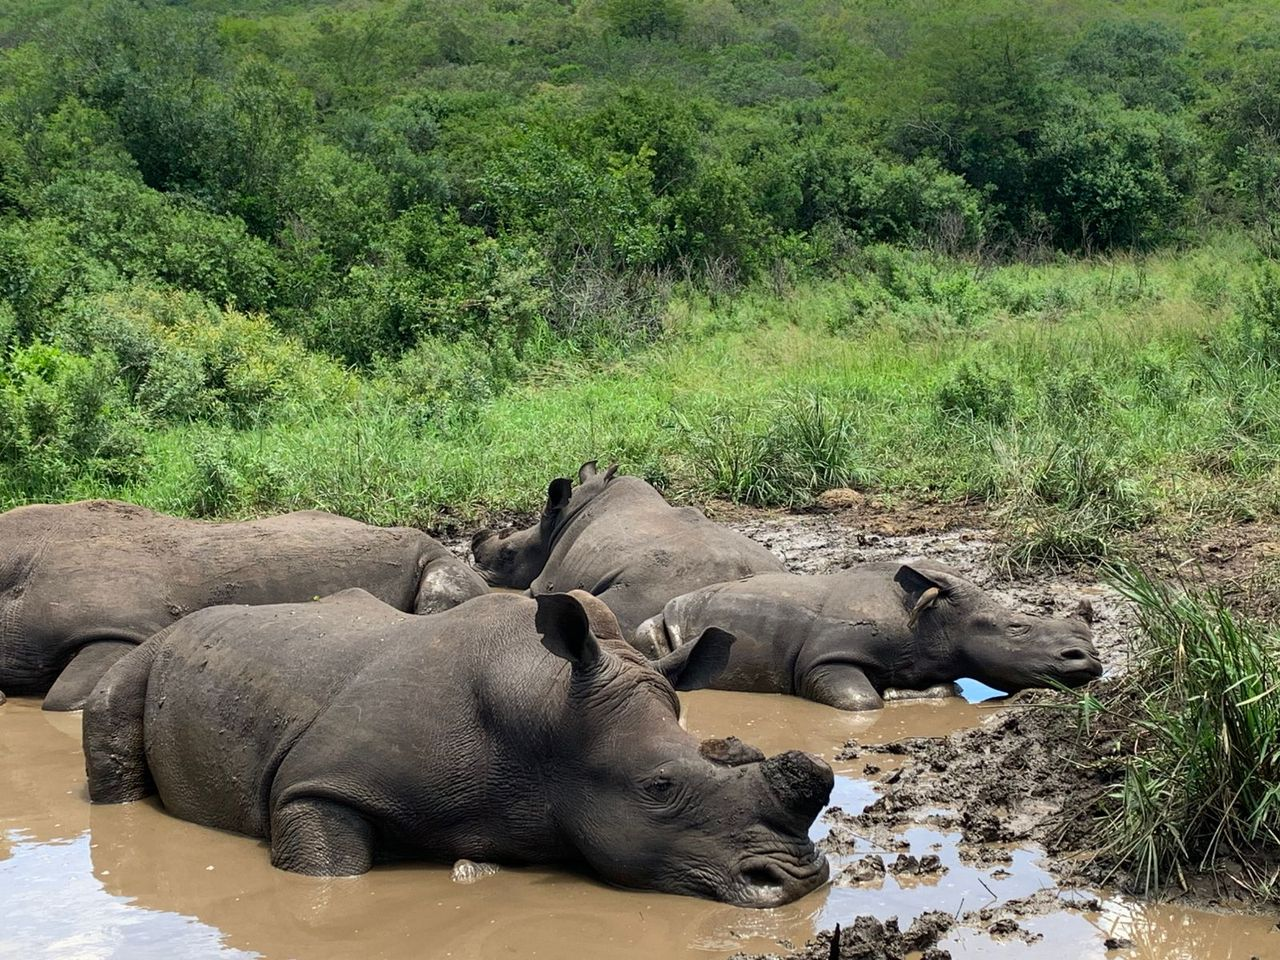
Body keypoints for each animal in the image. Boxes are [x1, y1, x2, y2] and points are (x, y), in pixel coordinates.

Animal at [84, 589, 833, 906]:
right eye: (659, 788)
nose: (797, 883)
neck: (549, 716)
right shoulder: (319, 783)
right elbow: (331, 867)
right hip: (145, 657)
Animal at [632, 560, 1102, 711]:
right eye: (1017, 628)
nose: (1089, 660)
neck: (936, 623)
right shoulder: (826, 660)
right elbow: (862, 701)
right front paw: (893, 696)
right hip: (663, 623)